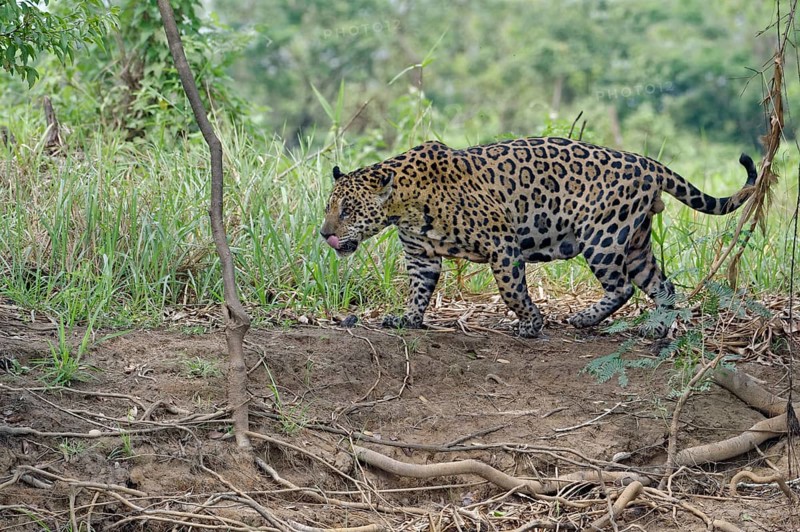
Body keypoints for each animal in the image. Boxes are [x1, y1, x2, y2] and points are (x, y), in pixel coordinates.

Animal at [320, 137, 757, 338]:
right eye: (329, 208)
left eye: (348, 211)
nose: (324, 234)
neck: (403, 204)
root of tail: (646, 162)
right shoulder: (420, 255)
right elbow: (419, 290)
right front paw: (407, 319)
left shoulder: (501, 242)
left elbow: (512, 289)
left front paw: (531, 323)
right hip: (634, 241)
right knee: (661, 285)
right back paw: (658, 327)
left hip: (602, 236)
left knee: (623, 286)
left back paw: (583, 318)